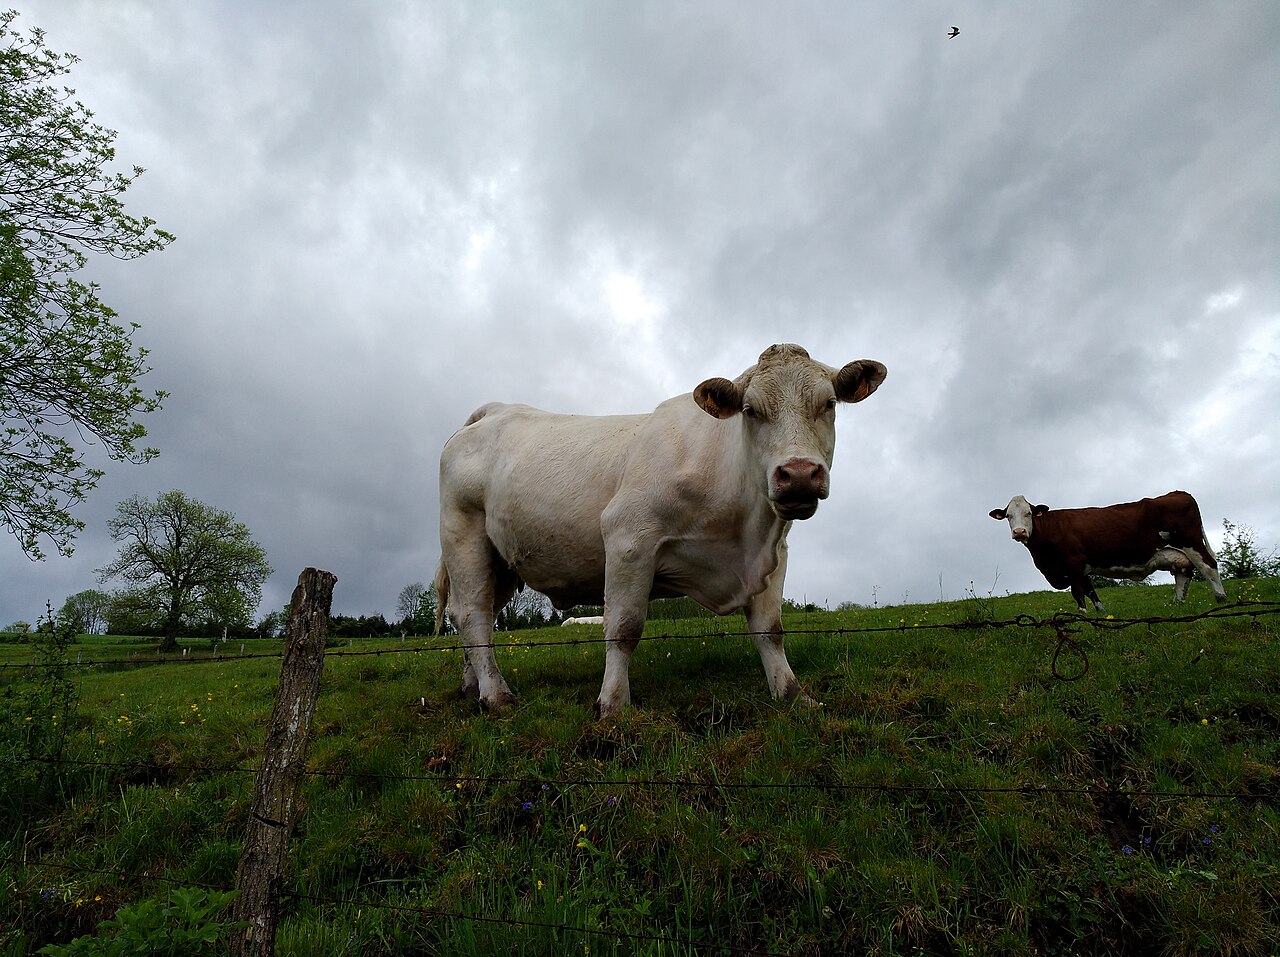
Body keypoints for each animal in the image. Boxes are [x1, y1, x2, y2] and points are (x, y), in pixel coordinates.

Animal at [435, 343, 888, 717]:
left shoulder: (774, 555)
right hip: (464, 533)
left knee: (474, 613)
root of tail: (496, 409)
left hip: (500, 560)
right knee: (473, 613)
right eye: (751, 410)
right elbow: (623, 628)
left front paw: (793, 694)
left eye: (828, 403)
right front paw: (613, 705)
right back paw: (496, 695)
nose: (798, 474)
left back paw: (472, 686)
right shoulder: (628, 535)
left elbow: (770, 630)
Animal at [988, 490, 1228, 612]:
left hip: (1191, 542)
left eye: (1028, 513)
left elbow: (1078, 593)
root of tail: (1177, 492)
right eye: (1008, 516)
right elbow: (1091, 591)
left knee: (1209, 566)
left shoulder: (1073, 563)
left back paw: (1221, 598)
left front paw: (1083, 618)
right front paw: (1101, 614)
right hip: (1179, 553)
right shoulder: (1082, 568)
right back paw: (1177, 605)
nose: (1019, 532)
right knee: (1183, 575)